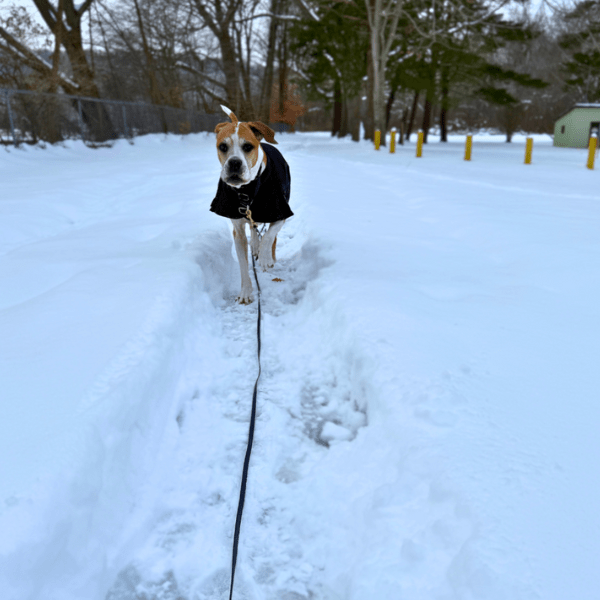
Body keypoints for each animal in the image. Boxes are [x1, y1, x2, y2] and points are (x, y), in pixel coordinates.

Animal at [211, 103, 292, 308]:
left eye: (247, 146)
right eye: (223, 147)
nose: (234, 163)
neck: (247, 190)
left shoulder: (280, 213)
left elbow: (270, 235)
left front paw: (265, 258)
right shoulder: (238, 230)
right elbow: (242, 264)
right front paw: (246, 293)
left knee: (268, 235)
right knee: (254, 228)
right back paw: (255, 245)